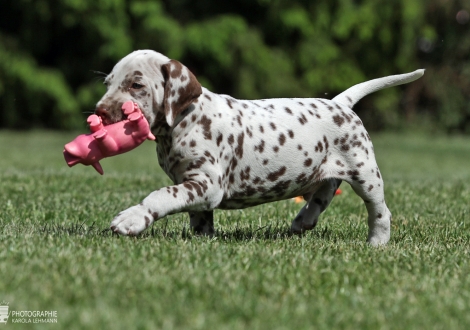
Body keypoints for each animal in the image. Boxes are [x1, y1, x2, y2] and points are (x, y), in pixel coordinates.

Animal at [96, 49, 426, 245]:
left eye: (136, 85)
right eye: (108, 83)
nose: (99, 112)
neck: (183, 120)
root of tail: (340, 102)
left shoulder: (207, 183)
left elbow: (163, 195)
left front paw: (132, 219)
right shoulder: (194, 184)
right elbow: (198, 216)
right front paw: (203, 241)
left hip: (365, 172)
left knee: (379, 209)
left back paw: (377, 242)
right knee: (325, 190)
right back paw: (305, 219)